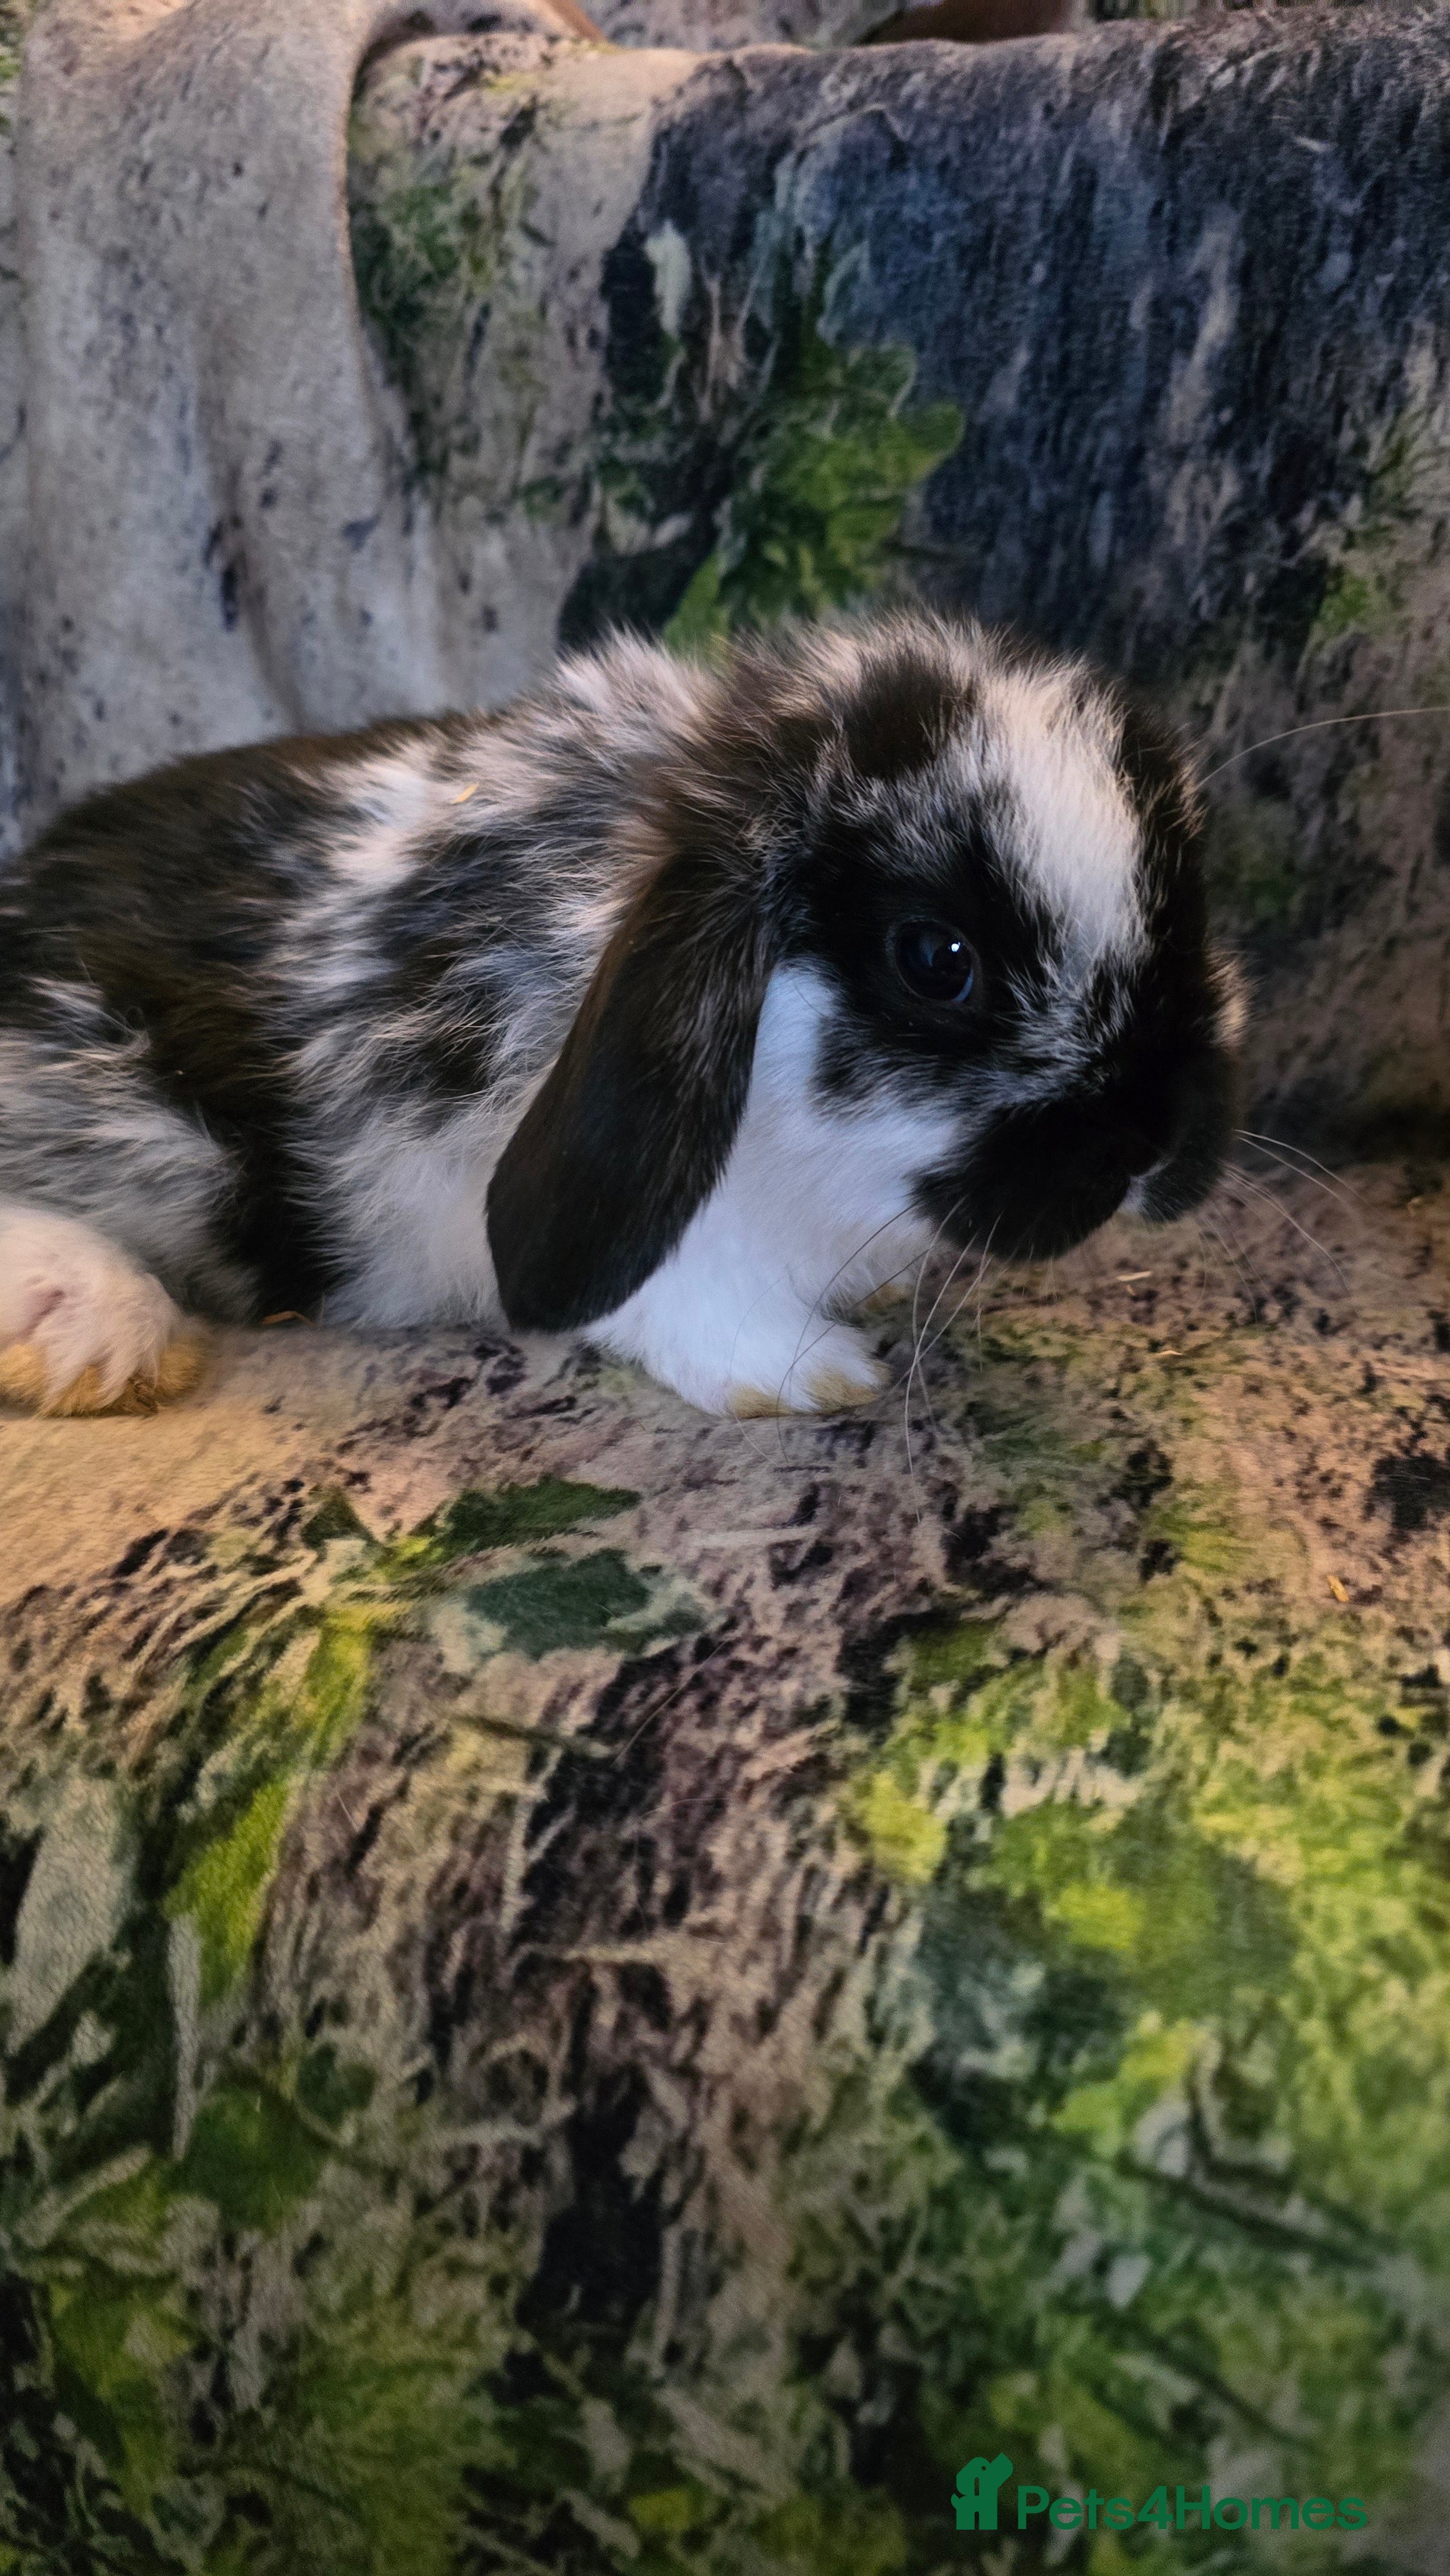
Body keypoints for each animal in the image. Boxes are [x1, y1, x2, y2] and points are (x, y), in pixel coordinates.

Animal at [0, 611, 1243, 1420]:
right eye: (938, 961)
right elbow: (667, 1287)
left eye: (1183, 904)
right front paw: (807, 1373)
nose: (1155, 1145)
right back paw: (90, 1329)